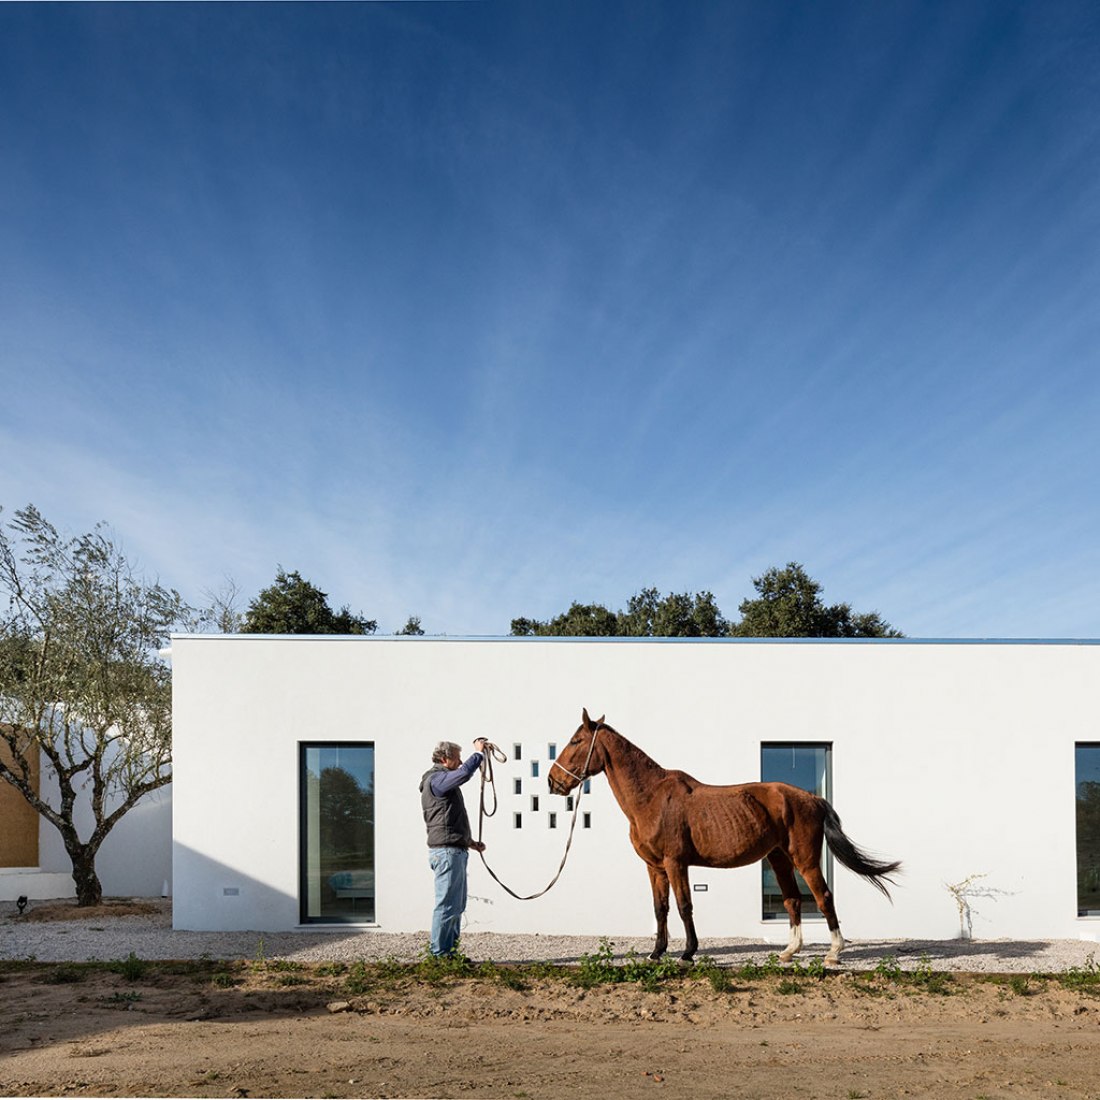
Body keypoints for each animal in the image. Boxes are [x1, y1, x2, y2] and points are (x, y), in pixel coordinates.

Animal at [550, 712, 902, 963]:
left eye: (576, 740)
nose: (554, 781)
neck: (652, 798)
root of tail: (813, 798)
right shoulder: (655, 867)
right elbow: (660, 908)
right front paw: (657, 952)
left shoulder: (676, 863)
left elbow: (684, 905)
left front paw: (688, 953)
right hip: (779, 858)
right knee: (792, 900)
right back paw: (789, 952)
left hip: (804, 859)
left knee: (823, 897)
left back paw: (833, 953)